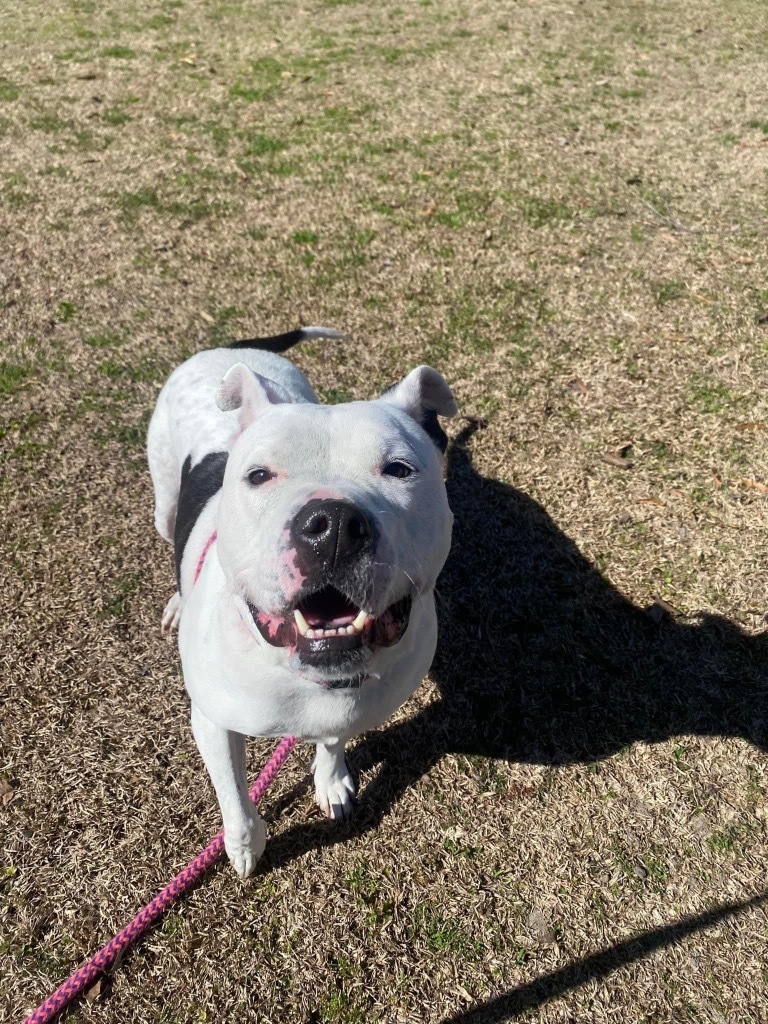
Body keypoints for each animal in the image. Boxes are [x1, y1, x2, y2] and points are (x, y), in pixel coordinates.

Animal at [146, 325, 456, 872]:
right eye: (258, 475)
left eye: (399, 469)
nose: (332, 525)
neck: (309, 681)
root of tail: (231, 348)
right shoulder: (212, 723)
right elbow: (236, 799)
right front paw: (244, 847)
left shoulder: (347, 709)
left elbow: (332, 741)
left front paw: (331, 781)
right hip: (164, 500)